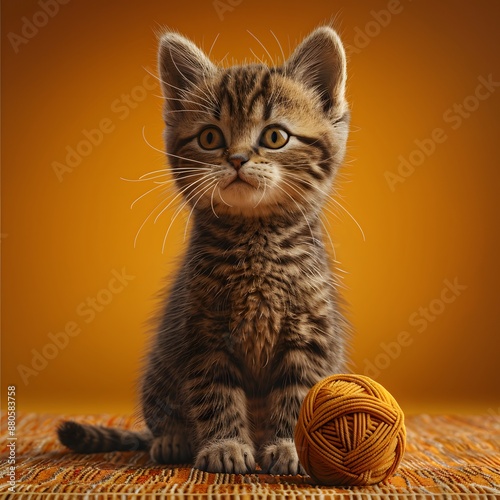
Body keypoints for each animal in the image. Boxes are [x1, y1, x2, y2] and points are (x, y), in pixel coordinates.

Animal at [57, 26, 348, 472]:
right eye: (211, 137)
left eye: (275, 136)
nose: (238, 158)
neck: (255, 240)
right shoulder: (200, 334)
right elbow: (214, 393)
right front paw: (224, 445)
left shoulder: (311, 335)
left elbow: (299, 395)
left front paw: (291, 445)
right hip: (160, 369)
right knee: (164, 417)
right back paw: (173, 441)